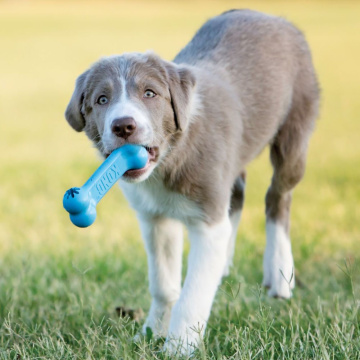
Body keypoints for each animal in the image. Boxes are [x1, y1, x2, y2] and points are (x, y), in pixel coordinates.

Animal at [66, 8, 320, 354]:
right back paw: (225, 261)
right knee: (237, 194)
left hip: (295, 129)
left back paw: (280, 272)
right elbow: (163, 284)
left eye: (150, 93)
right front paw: (152, 331)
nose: (124, 126)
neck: (169, 158)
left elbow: (193, 292)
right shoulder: (155, 218)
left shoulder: (206, 220)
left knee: (278, 196)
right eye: (102, 99)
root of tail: (269, 15)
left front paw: (179, 346)